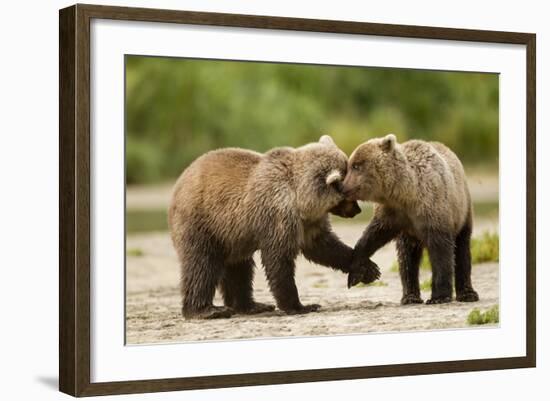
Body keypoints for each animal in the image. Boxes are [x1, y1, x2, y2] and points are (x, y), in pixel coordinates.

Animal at [168, 136, 380, 318]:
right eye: (350, 194)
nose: (357, 210)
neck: (301, 199)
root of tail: (178, 184)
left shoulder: (309, 222)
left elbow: (324, 247)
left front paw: (367, 268)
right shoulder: (277, 214)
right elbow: (278, 259)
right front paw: (301, 306)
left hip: (232, 236)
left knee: (239, 269)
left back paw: (251, 305)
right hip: (203, 223)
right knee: (201, 265)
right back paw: (207, 310)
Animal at [344, 134, 478, 304]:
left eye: (356, 166)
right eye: (350, 165)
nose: (342, 186)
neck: (406, 193)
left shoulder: (433, 209)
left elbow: (441, 252)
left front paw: (439, 296)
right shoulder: (393, 214)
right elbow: (373, 235)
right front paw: (356, 272)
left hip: (462, 211)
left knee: (462, 249)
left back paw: (468, 294)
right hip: (409, 235)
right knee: (407, 258)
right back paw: (410, 296)